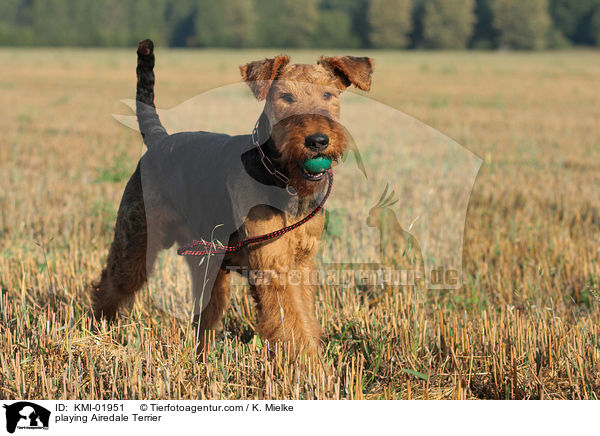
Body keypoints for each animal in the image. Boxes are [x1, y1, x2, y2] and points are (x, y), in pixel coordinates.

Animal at [91, 40, 372, 362]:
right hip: (137, 241)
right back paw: (98, 333)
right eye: (285, 96)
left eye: (329, 94)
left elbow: (305, 320)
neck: (282, 179)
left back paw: (200, 358)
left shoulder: (301, 263)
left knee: (203, 318)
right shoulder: (272, 264)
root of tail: (159, 140)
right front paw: (312, 368)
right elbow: (293, 325)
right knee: (108, 285)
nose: (317, 141)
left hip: (207, 262)